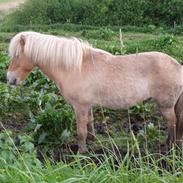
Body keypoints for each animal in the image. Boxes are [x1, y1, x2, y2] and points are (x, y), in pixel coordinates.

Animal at [6, 31, 183, 153]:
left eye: (17, 55)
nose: (10, 79)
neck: (75, 67)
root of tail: (178, 66)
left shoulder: (80, 106)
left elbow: (81, 131)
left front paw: (81, 152)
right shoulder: (87, 105)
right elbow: (90, 123)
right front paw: (92, 140)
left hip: (165, 105)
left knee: (172, 123)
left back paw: (170, 147)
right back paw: (168, 144)